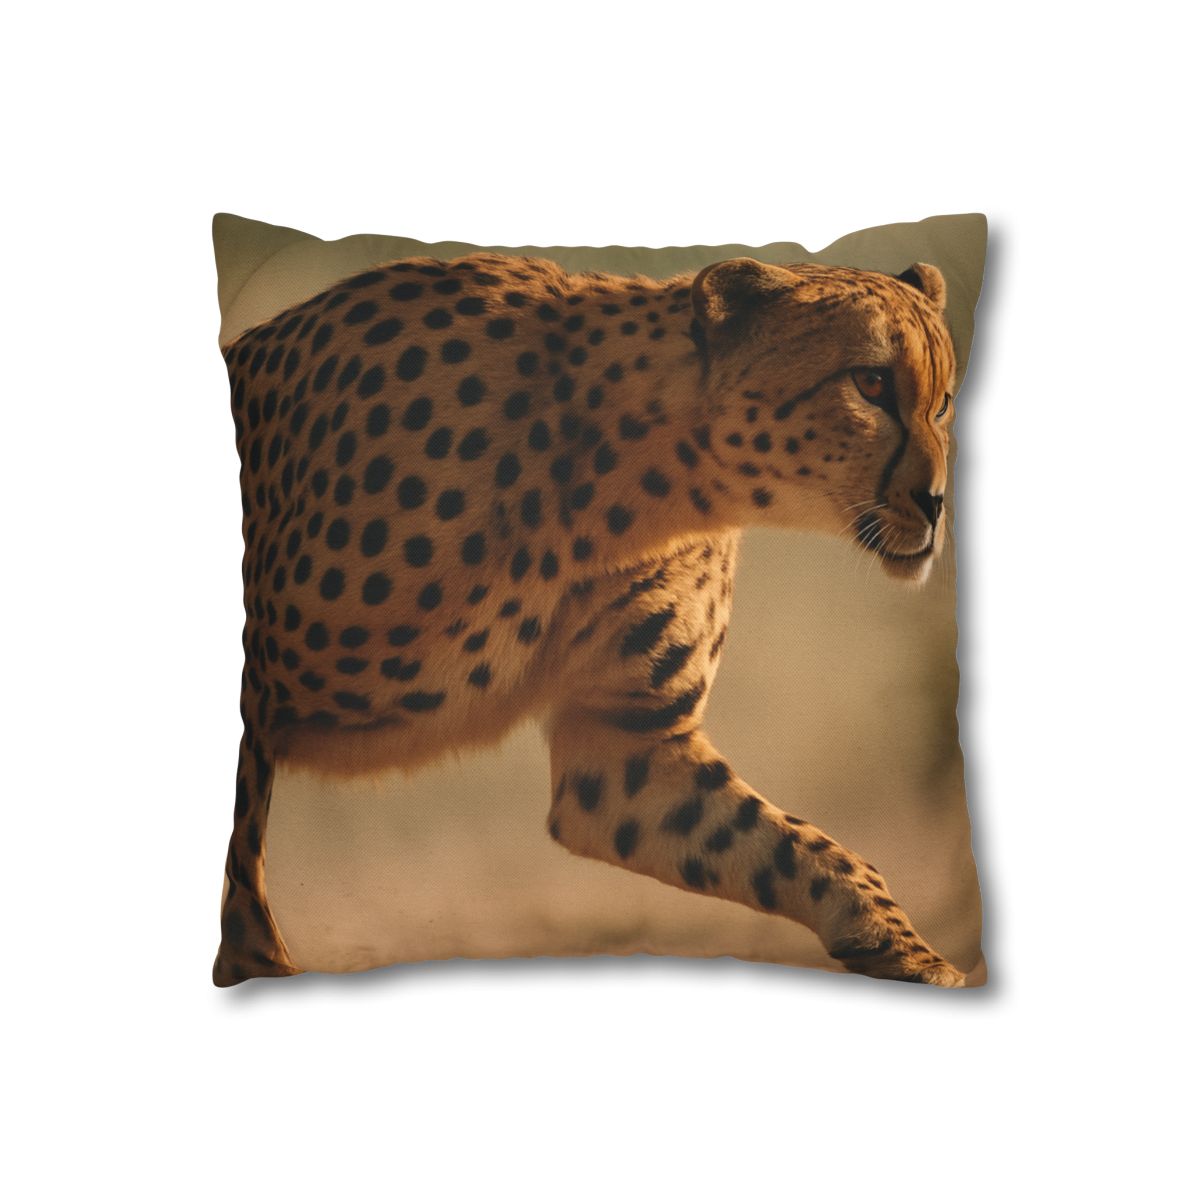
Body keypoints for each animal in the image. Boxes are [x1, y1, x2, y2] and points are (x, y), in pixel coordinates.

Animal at [214, 249, 964, 988]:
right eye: (870, 383)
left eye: (944, 402)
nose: (936, 504)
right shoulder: (253, 694)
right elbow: (241, 866)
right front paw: (258, 965)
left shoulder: (624, 746)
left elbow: (801, 848)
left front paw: (911, 952)